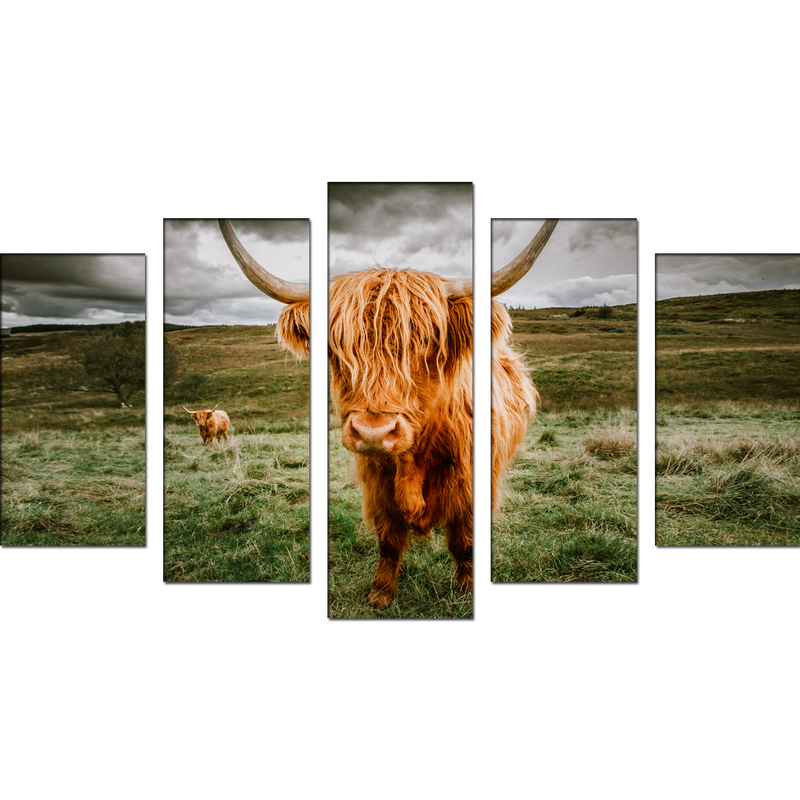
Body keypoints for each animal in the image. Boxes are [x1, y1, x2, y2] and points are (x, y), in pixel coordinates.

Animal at [219, 214, 558, 607]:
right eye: (337, 347)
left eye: (427, 341)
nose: (373, 433)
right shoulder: (378, 488)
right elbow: (389, 541)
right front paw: (380, 592)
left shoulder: (472, 487)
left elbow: (464, 541)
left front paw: (466, 586)